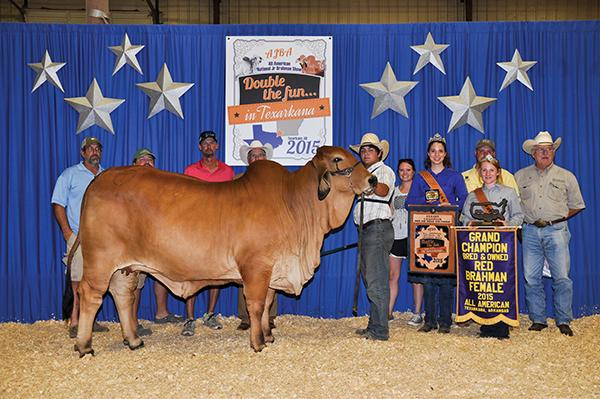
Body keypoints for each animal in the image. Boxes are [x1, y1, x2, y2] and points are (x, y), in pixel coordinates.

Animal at [74, 146, 376, 356]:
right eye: (338, 159)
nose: (372, 180)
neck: (293, 203)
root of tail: (99, 180)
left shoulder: (272, 270)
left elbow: (267, 304)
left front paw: (268, 335)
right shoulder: (256, 267)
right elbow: (256, 304)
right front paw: (257, 343)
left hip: (125, 269)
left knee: (122, 297)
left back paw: (134, 340)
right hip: (100, 260)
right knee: (91, 296)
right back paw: (84, 345)